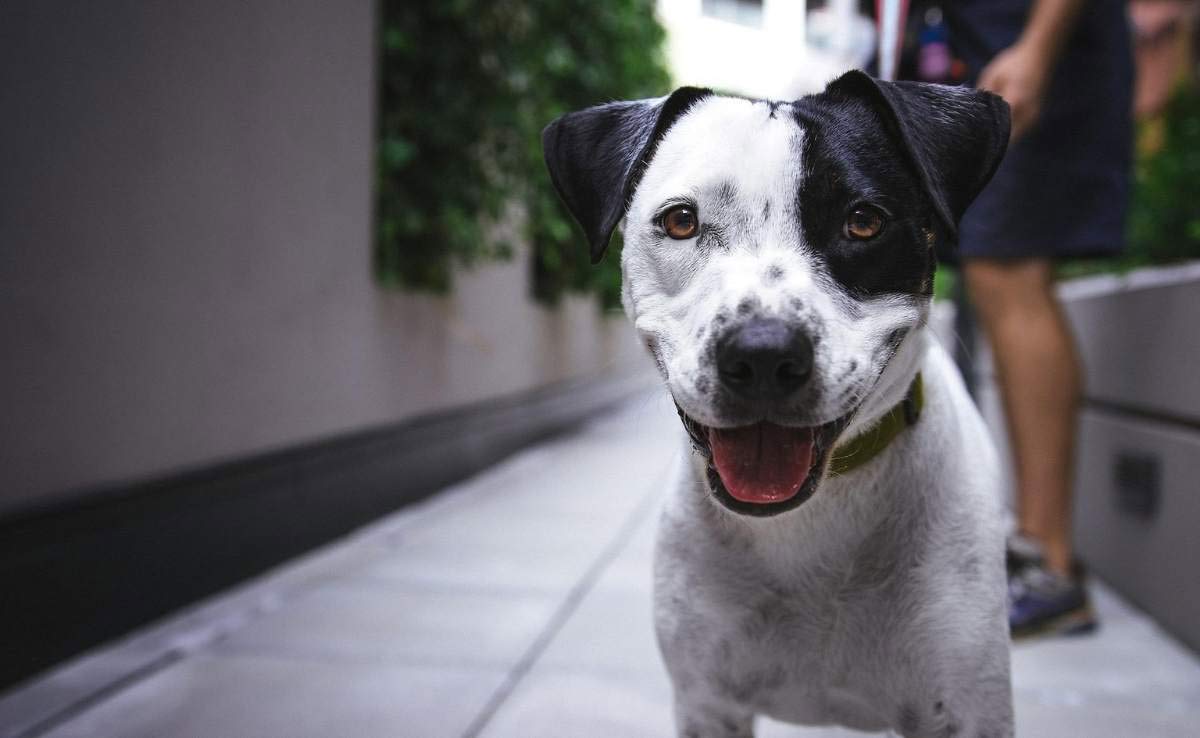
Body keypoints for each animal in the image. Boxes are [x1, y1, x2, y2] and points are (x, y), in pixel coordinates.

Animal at [549, 70, 1017, 738]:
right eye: (682, 221)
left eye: (864, 222)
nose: (763, 355)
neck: (811, 523)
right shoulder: (708, 704)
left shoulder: (964, 709)